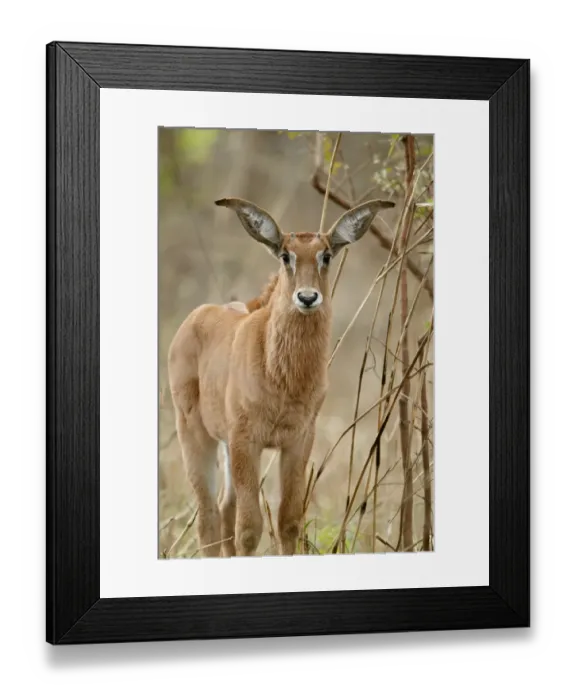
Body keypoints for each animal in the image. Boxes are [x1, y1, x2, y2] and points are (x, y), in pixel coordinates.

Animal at [167, 196, 394, 557]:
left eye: (326, 254)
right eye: (285, 255)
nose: (307, 297)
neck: (283, 377)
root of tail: (196, 317)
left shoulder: (298, 441)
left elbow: (288, 521)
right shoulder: (247, 441)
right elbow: (249, 529)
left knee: (225, 509)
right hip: (195, 433)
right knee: (209, 518)